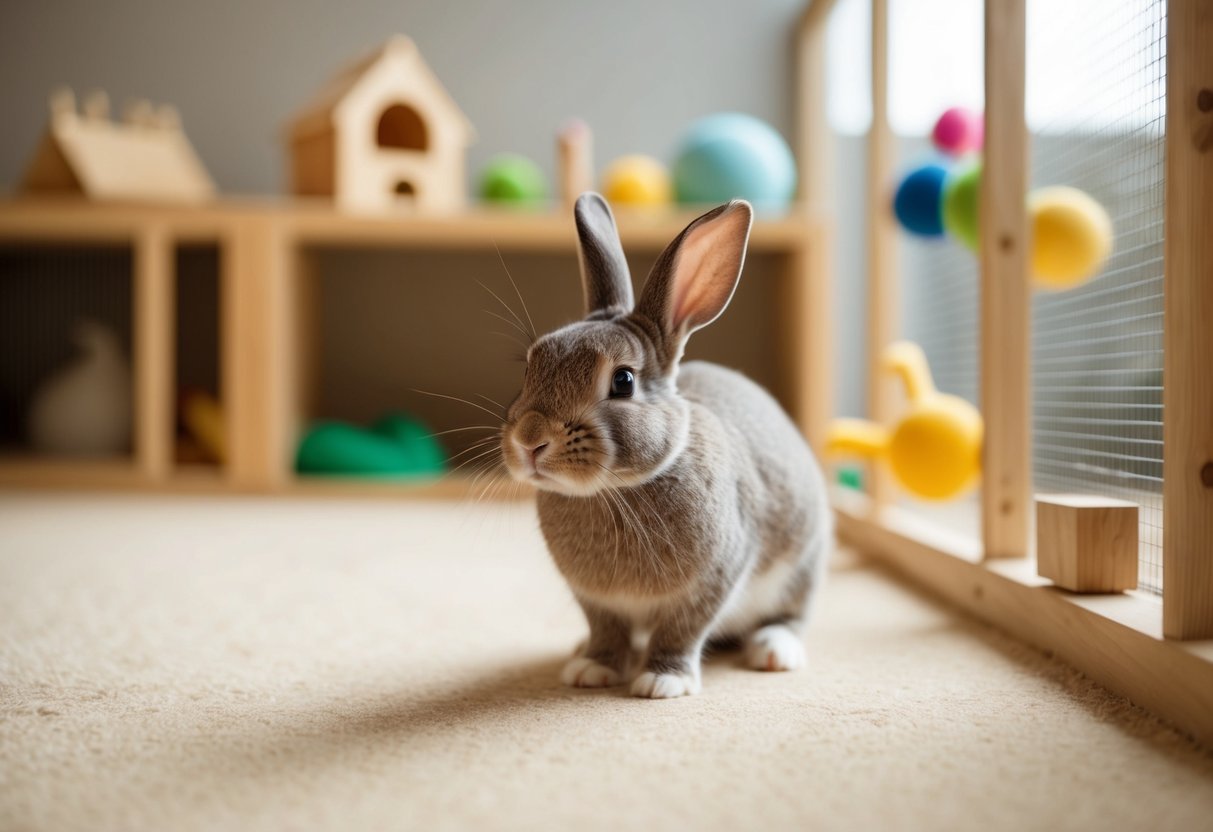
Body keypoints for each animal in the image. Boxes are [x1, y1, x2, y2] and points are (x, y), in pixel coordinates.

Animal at [500, 193, 832, 698]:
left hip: (802, 564)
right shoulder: (597, 602)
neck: (614, 491)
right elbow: (606, 631)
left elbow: (681, 631)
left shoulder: (711, 581)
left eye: (623, 381)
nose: (529, 440)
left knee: (791, 615)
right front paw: (591, 669)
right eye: (530, 366)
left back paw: (775, 651)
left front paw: (661, 681)